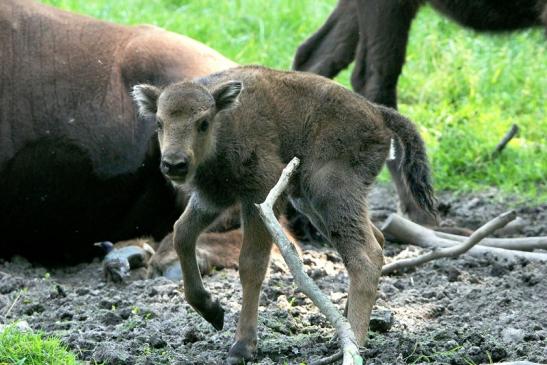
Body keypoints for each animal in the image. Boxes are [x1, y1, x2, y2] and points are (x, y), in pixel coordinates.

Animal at [133, 66, 436, 364]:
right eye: (159, 123)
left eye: (203, 122)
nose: (174, 164)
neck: (226, 120)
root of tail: (377, 113)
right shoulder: (212, 199)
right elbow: (181, 233)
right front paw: (213, 312)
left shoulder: (259, 197)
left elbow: (251, 264)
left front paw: (242, 347)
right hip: (312, 204)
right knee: (375, 238)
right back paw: (344, 328)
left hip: (330, 192)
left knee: (365, 256)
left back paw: (352, 345)